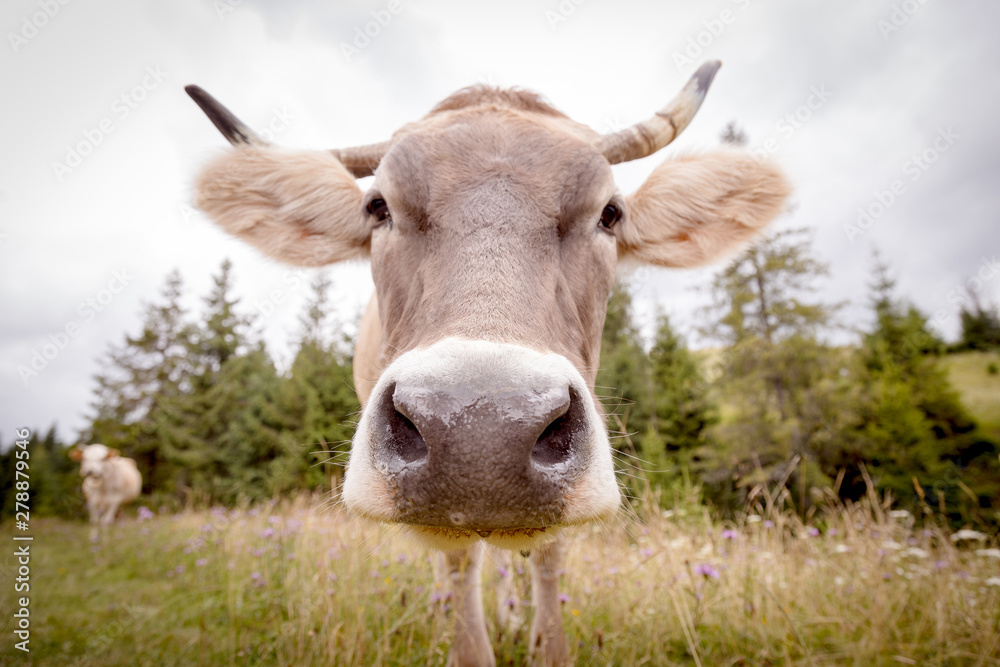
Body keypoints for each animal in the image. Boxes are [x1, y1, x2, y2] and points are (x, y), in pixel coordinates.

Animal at [184, 60, 784, 664]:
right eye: (378, 207)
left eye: (610, 214)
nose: (482, 430)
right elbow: (456, 560)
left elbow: (548, 554)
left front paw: (543, 642)